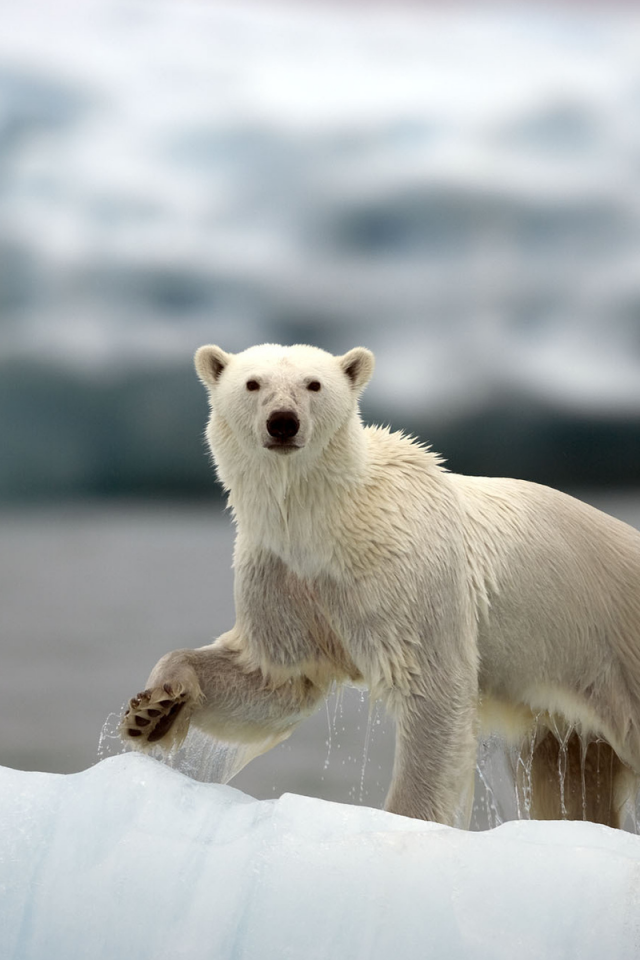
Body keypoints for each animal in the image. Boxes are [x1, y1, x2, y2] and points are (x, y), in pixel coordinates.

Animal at [122, 344, 640, 824]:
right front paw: (153, 709)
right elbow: (276, 678)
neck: (329, 521)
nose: (283, 422)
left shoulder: (404, 575)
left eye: (313, 384)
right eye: (252, 383)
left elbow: (432, 690)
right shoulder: (282, 575)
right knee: (571, 781)